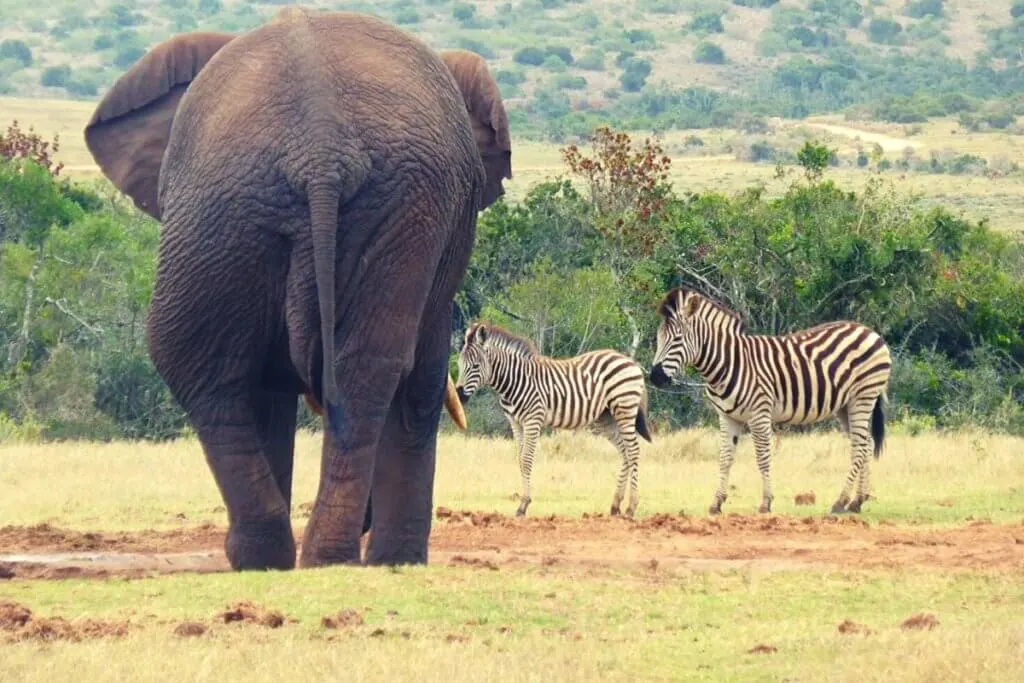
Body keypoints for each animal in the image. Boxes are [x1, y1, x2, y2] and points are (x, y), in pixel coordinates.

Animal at [81, 7, 512, 569]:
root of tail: (321, 150)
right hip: (266, 201)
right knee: (337, 370)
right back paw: (312, 558)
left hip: (258, 205)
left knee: (211, 366)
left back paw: (291, 557)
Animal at [454, 323, 647, 516]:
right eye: (459, 364)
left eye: (476, 366)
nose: (459, 396)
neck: (514, 380)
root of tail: (628, 360)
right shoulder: (515, 422)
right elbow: (520, 459)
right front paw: (522, 504)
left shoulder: (533, 420)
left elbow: (527, 459)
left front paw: (523, 505)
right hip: (606, 418)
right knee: (625, 451)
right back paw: (615, 505)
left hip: (625, 409)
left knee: (633, 450)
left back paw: (631, 507)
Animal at [651, 286, 892, 516]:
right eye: (659, 338)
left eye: (677, 339)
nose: (655, 377)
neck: (728, 363)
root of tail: (870, 331)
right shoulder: (727, 417)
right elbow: (725, 458)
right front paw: (716, 503)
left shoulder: (759, 413)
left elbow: (762, 457)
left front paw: (766, 503)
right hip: (845, 406)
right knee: (866, 444)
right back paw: (857, 501)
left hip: (862, 397)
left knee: (860, 446)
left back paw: (840, 502)